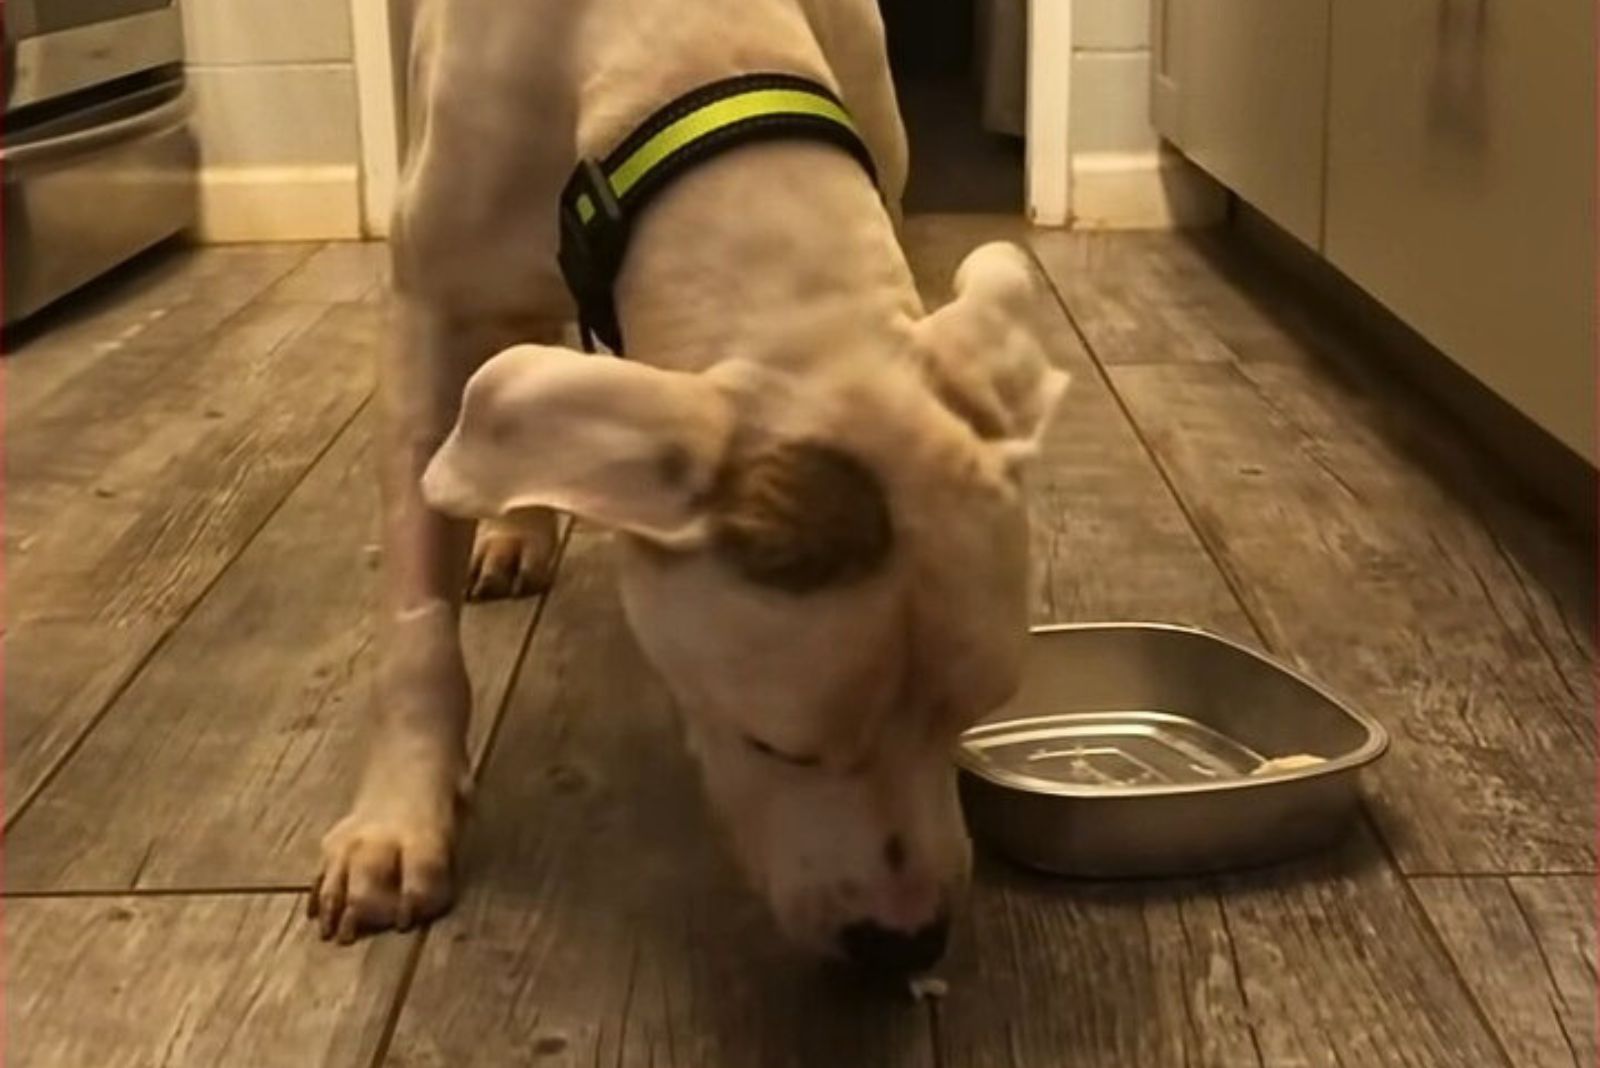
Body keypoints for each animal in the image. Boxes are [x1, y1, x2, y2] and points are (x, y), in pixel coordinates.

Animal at [307, 0, 1068, 972]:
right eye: (775, 745)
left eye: (975, 714)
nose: (905, 943)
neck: (680, 44)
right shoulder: (429, 315)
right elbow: (415, 619)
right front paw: (399, 823)